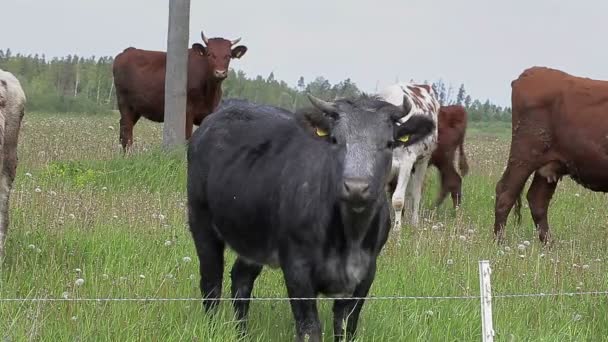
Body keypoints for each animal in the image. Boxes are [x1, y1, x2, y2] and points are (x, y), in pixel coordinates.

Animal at [111, 30, 247, 151]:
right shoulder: (187, 112)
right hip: (124, 103)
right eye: (210, 54)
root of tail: (127, 51)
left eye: (228, 56)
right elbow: (187, 139)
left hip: (136, 109)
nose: (220, 72)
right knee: (126, 130)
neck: (210, 92)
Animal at [188, 94, 434, 342]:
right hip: (201, 220)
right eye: (335, 140)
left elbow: (346, 326)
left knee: (241, 280)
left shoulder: (364, 275)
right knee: (211, 283)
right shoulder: (297, 269)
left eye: (389, 143)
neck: (349, 237)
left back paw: (242, 334)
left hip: (253, 237)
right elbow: (309, 329)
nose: (356, 187)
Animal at [378, 84, 440, 231]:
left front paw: (397, 228)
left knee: (416, 193)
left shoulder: (406, 163)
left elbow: (398, 200)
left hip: (422, 161)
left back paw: (414, 222)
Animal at [496, 66, 608, 243]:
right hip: (523, 158)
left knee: (537, 200)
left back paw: (550, 245)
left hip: (549, 165)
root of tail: (530, 72)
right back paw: (498, 243)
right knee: (506, 193)